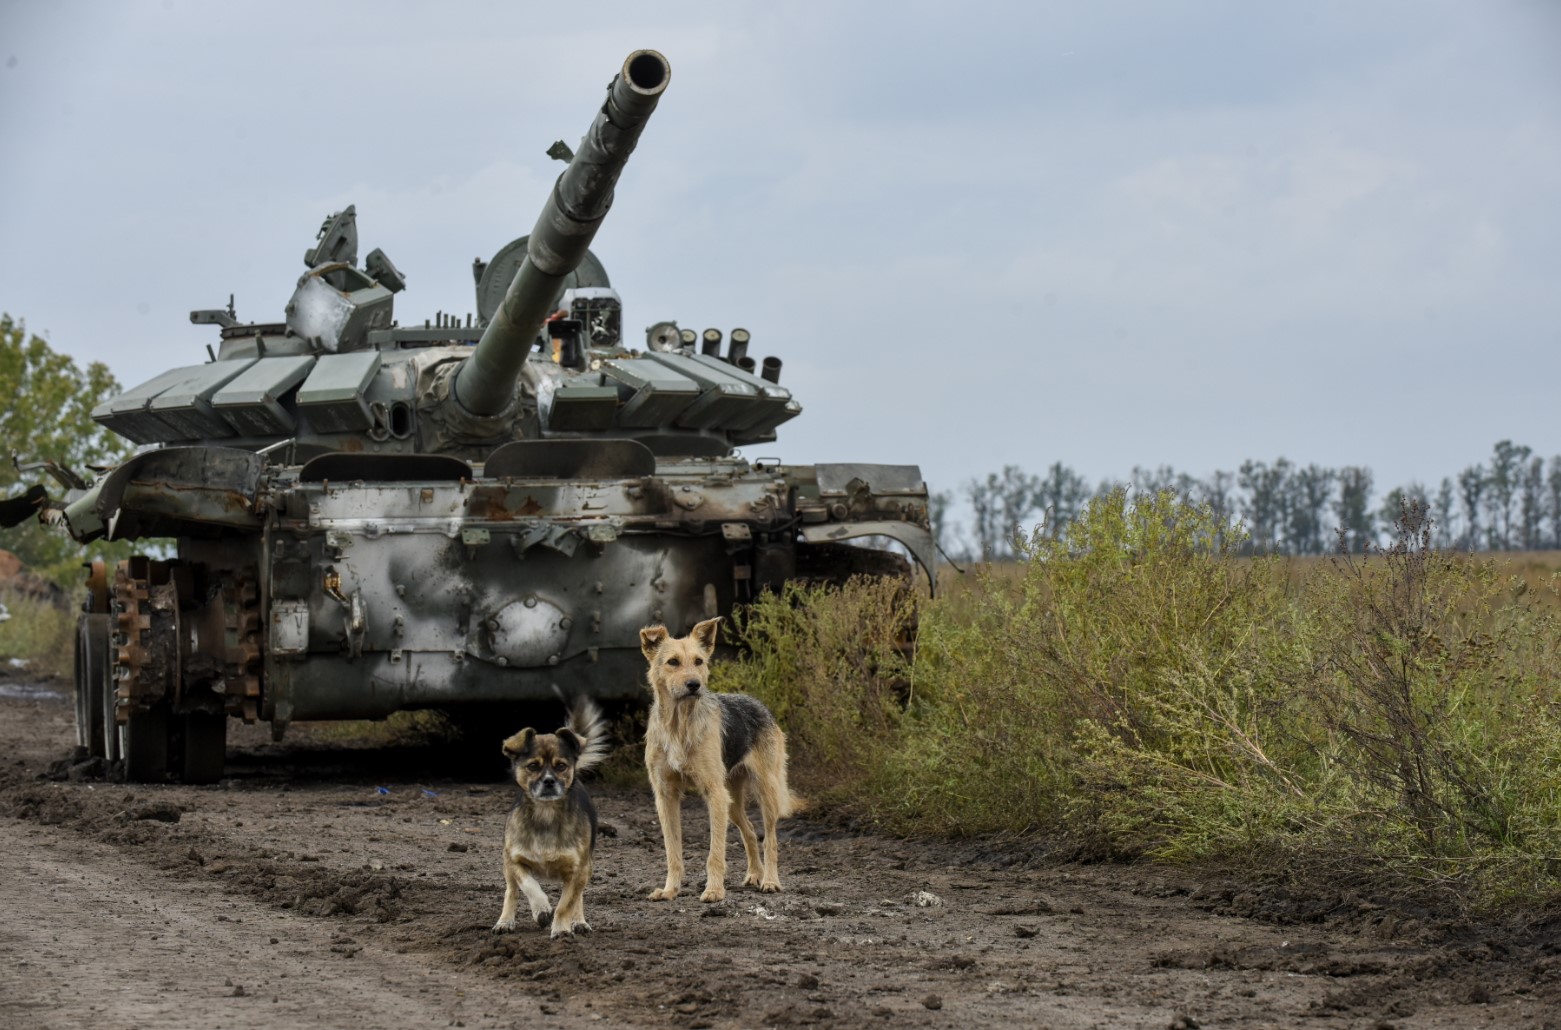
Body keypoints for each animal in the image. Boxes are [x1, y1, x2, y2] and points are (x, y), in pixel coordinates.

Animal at [490, 696, 605, 936]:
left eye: (561, 766)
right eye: (533, 766)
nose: (549, 781)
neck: (546, 814)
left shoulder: (577, 870)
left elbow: (566, 904)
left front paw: (561, 929)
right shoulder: (515, 861)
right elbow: (529, 885)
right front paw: (541, 909)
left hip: (587, 868)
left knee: (578, 897)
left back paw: (579, 921)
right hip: (507, 868)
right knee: (511, 892)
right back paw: (505, 921)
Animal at [640, 621, 799, 898]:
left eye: (699, 661)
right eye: (672, 662)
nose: (694, 685)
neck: (679, 725)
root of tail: (758, 704)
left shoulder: (714, 793)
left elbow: (715, 853)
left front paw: (714, 891)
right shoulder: (666, 796)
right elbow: (673, 852)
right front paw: (670, 890)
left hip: (764, 792)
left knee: (770, 840)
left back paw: (770, 880)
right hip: (732, 802)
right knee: (750, 832)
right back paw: (754, 875)